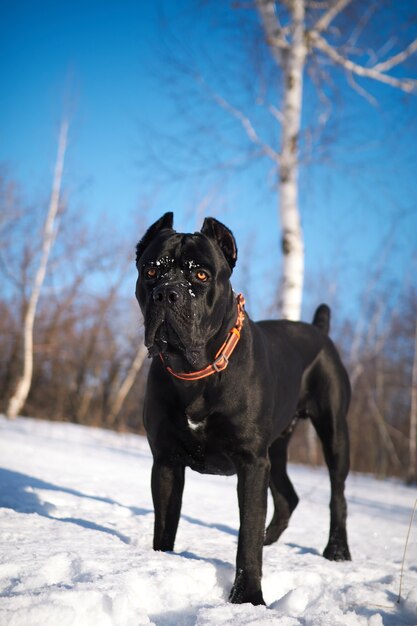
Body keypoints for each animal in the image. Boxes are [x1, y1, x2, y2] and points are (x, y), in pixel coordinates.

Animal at [135, 212, 350, 604]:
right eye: (151, 270)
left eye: (201, 276)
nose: (167, 293)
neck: (196, 373)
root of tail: (319, 330)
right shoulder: (167, 461)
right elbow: (165, 524)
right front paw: (162, 564)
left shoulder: (251, 463)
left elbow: (246, 534)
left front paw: (248, 597)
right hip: (276, 448)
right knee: (288, 496)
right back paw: (272, 539)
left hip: (333, 433)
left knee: (337, 495)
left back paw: (337, 550)